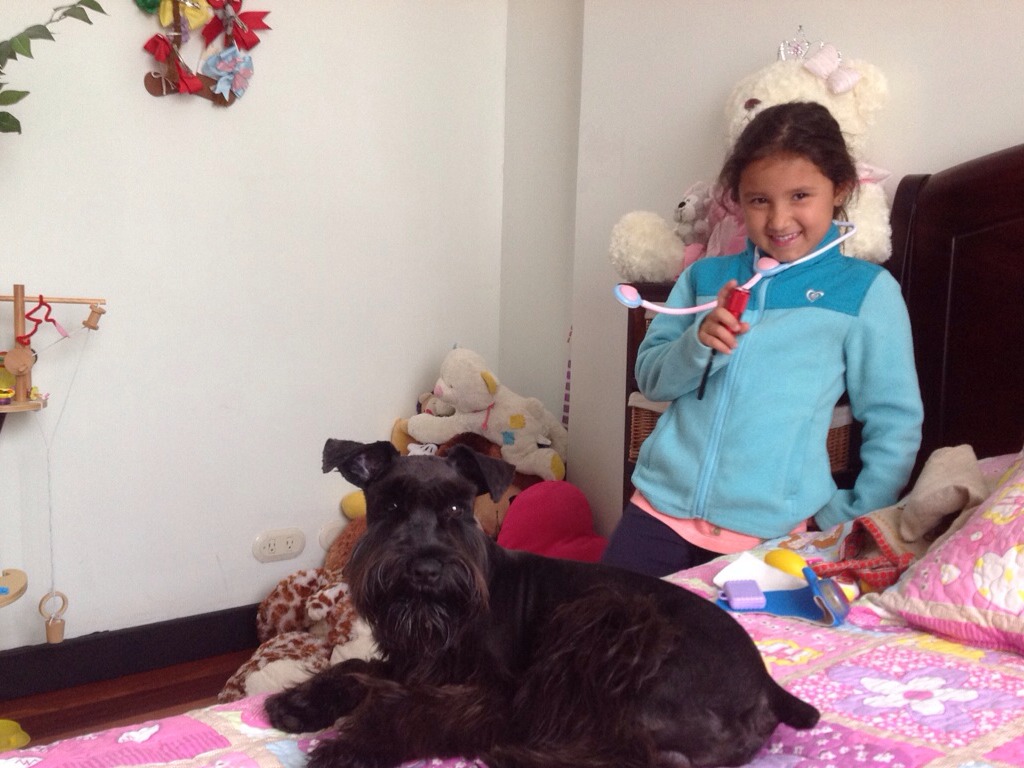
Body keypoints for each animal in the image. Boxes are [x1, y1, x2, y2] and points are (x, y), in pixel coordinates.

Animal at [265, 439, 819, 768]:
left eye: (457, 507)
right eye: (391, 505)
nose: (425, 570)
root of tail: (767, 687)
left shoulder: (493, 695)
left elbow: (414, 708)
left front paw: (352, 745)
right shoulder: (411, 664)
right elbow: (355, 668)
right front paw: (300, 702)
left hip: (611, 623)